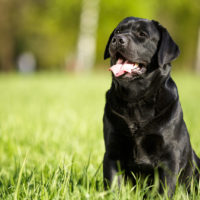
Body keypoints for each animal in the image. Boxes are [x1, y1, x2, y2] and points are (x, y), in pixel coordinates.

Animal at [103, 16, 200, 196]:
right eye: (118, 31)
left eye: (142, 34)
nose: (118, 40)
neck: (136, 99)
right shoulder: (112, 153)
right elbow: (113, 185)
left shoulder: (169, 158)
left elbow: (165, 189)